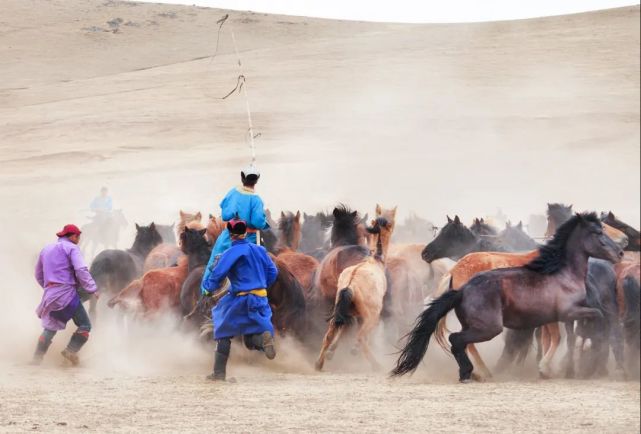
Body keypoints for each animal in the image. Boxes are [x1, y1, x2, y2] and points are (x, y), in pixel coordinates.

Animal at [392, 214, 624, 384]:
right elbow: (550, 338)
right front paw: (542, 367)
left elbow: (550, 338)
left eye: (447, 233)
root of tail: (454, 272)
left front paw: (545, 367)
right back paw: (481, 371)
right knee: (466, 341)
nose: (425, 253)